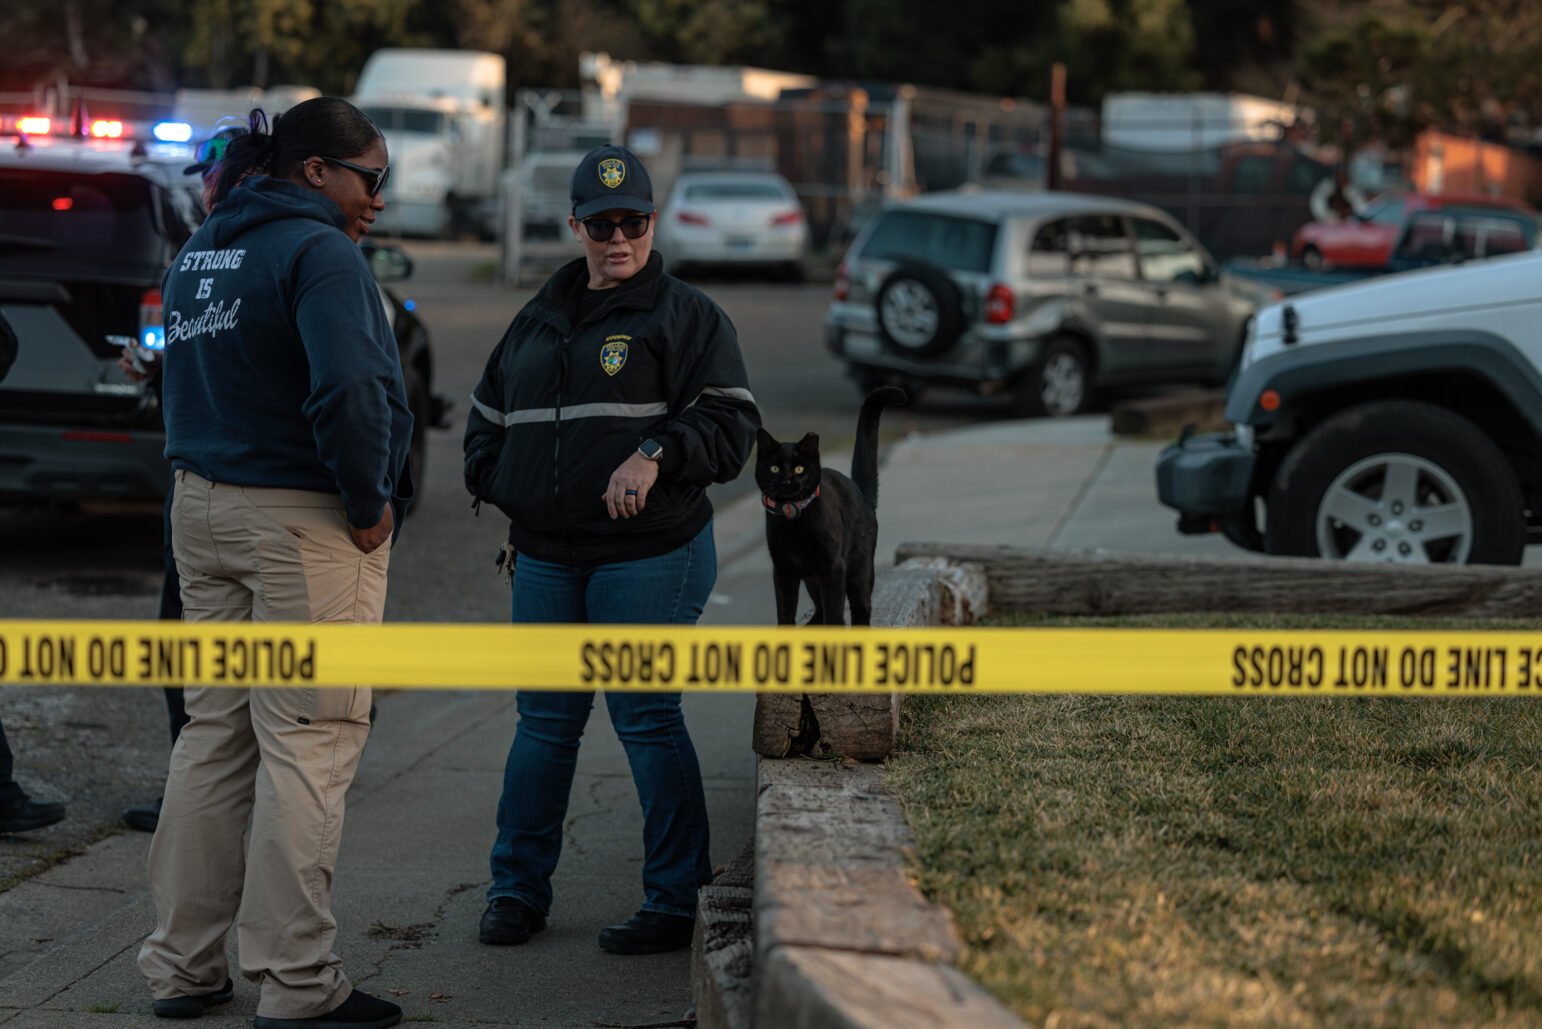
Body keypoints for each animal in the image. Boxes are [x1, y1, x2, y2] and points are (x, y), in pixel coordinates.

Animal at [755, 385, 900, 629]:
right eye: (774, 468)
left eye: (799, 469)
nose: (787, 480)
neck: (792, 518)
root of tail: (861, 493)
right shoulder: (783, 569)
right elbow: (785, 610)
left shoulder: (833, 566)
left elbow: (834, 611)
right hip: (811, 579)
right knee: (820, 608)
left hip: (858, 571)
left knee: (861, 608)